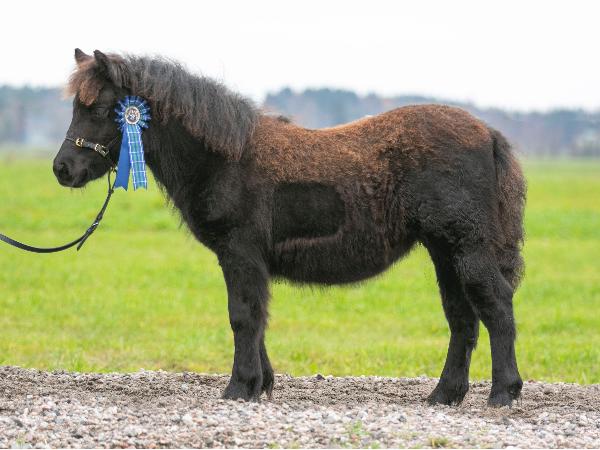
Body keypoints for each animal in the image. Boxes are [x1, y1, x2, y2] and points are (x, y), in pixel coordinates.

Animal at [53, 49, 526, 407]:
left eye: (99, 108)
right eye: (76, 106)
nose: (63, 169)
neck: (225, 158)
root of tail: (487, 133)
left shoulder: (239, 254)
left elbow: (242, 317)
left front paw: (239, 387)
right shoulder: (250, 262)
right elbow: (257, 318)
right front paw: (260, 385)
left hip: (466, 248)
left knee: (497, 307)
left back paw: (503, 393)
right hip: (444, 252)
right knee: (462, 319)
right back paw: (444, 395)